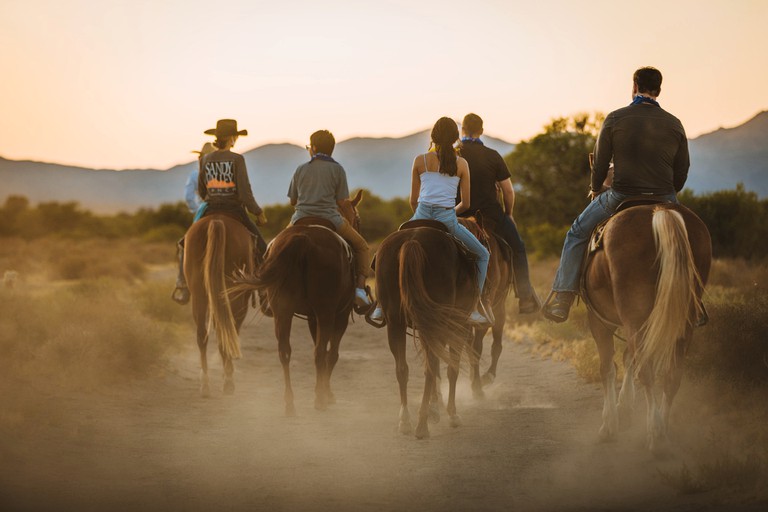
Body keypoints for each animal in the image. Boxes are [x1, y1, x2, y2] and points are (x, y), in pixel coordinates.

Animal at [183, 214, 255, 398]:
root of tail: (216, 221)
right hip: (233, 294)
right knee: (228, 330)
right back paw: (228, 381)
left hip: (199, 293)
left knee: (202, 335)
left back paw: (205, 384)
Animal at [234, 190, 366, 414]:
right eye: (358, 219)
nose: (357, 224)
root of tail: (302, 239)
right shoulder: (338, 316)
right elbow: (332, 353)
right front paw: (327, 393)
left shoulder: (313, 318)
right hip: (325, 312)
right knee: (320, 352)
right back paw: (319, 400)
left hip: (282, 312)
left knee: (285, 351)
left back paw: (290, 403)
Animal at [376, 221, 476, 440]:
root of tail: (413, 240)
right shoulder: (459, 324)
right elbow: (451, 368)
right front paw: (450, 414)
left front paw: (434, 408)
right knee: (431, 367)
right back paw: (422, 425)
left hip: (396, 322)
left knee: (402, 368)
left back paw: (405, 421)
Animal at [584, 204, 712, 452]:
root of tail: (660, 210)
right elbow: (627, 359)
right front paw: (624, 409)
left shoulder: (600, 321)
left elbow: (607, 368)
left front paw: (609, 425)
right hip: (682, 324)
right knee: (672, 375)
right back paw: (664, 429)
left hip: (633, 318)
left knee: (647, 372)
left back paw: (655, 435)